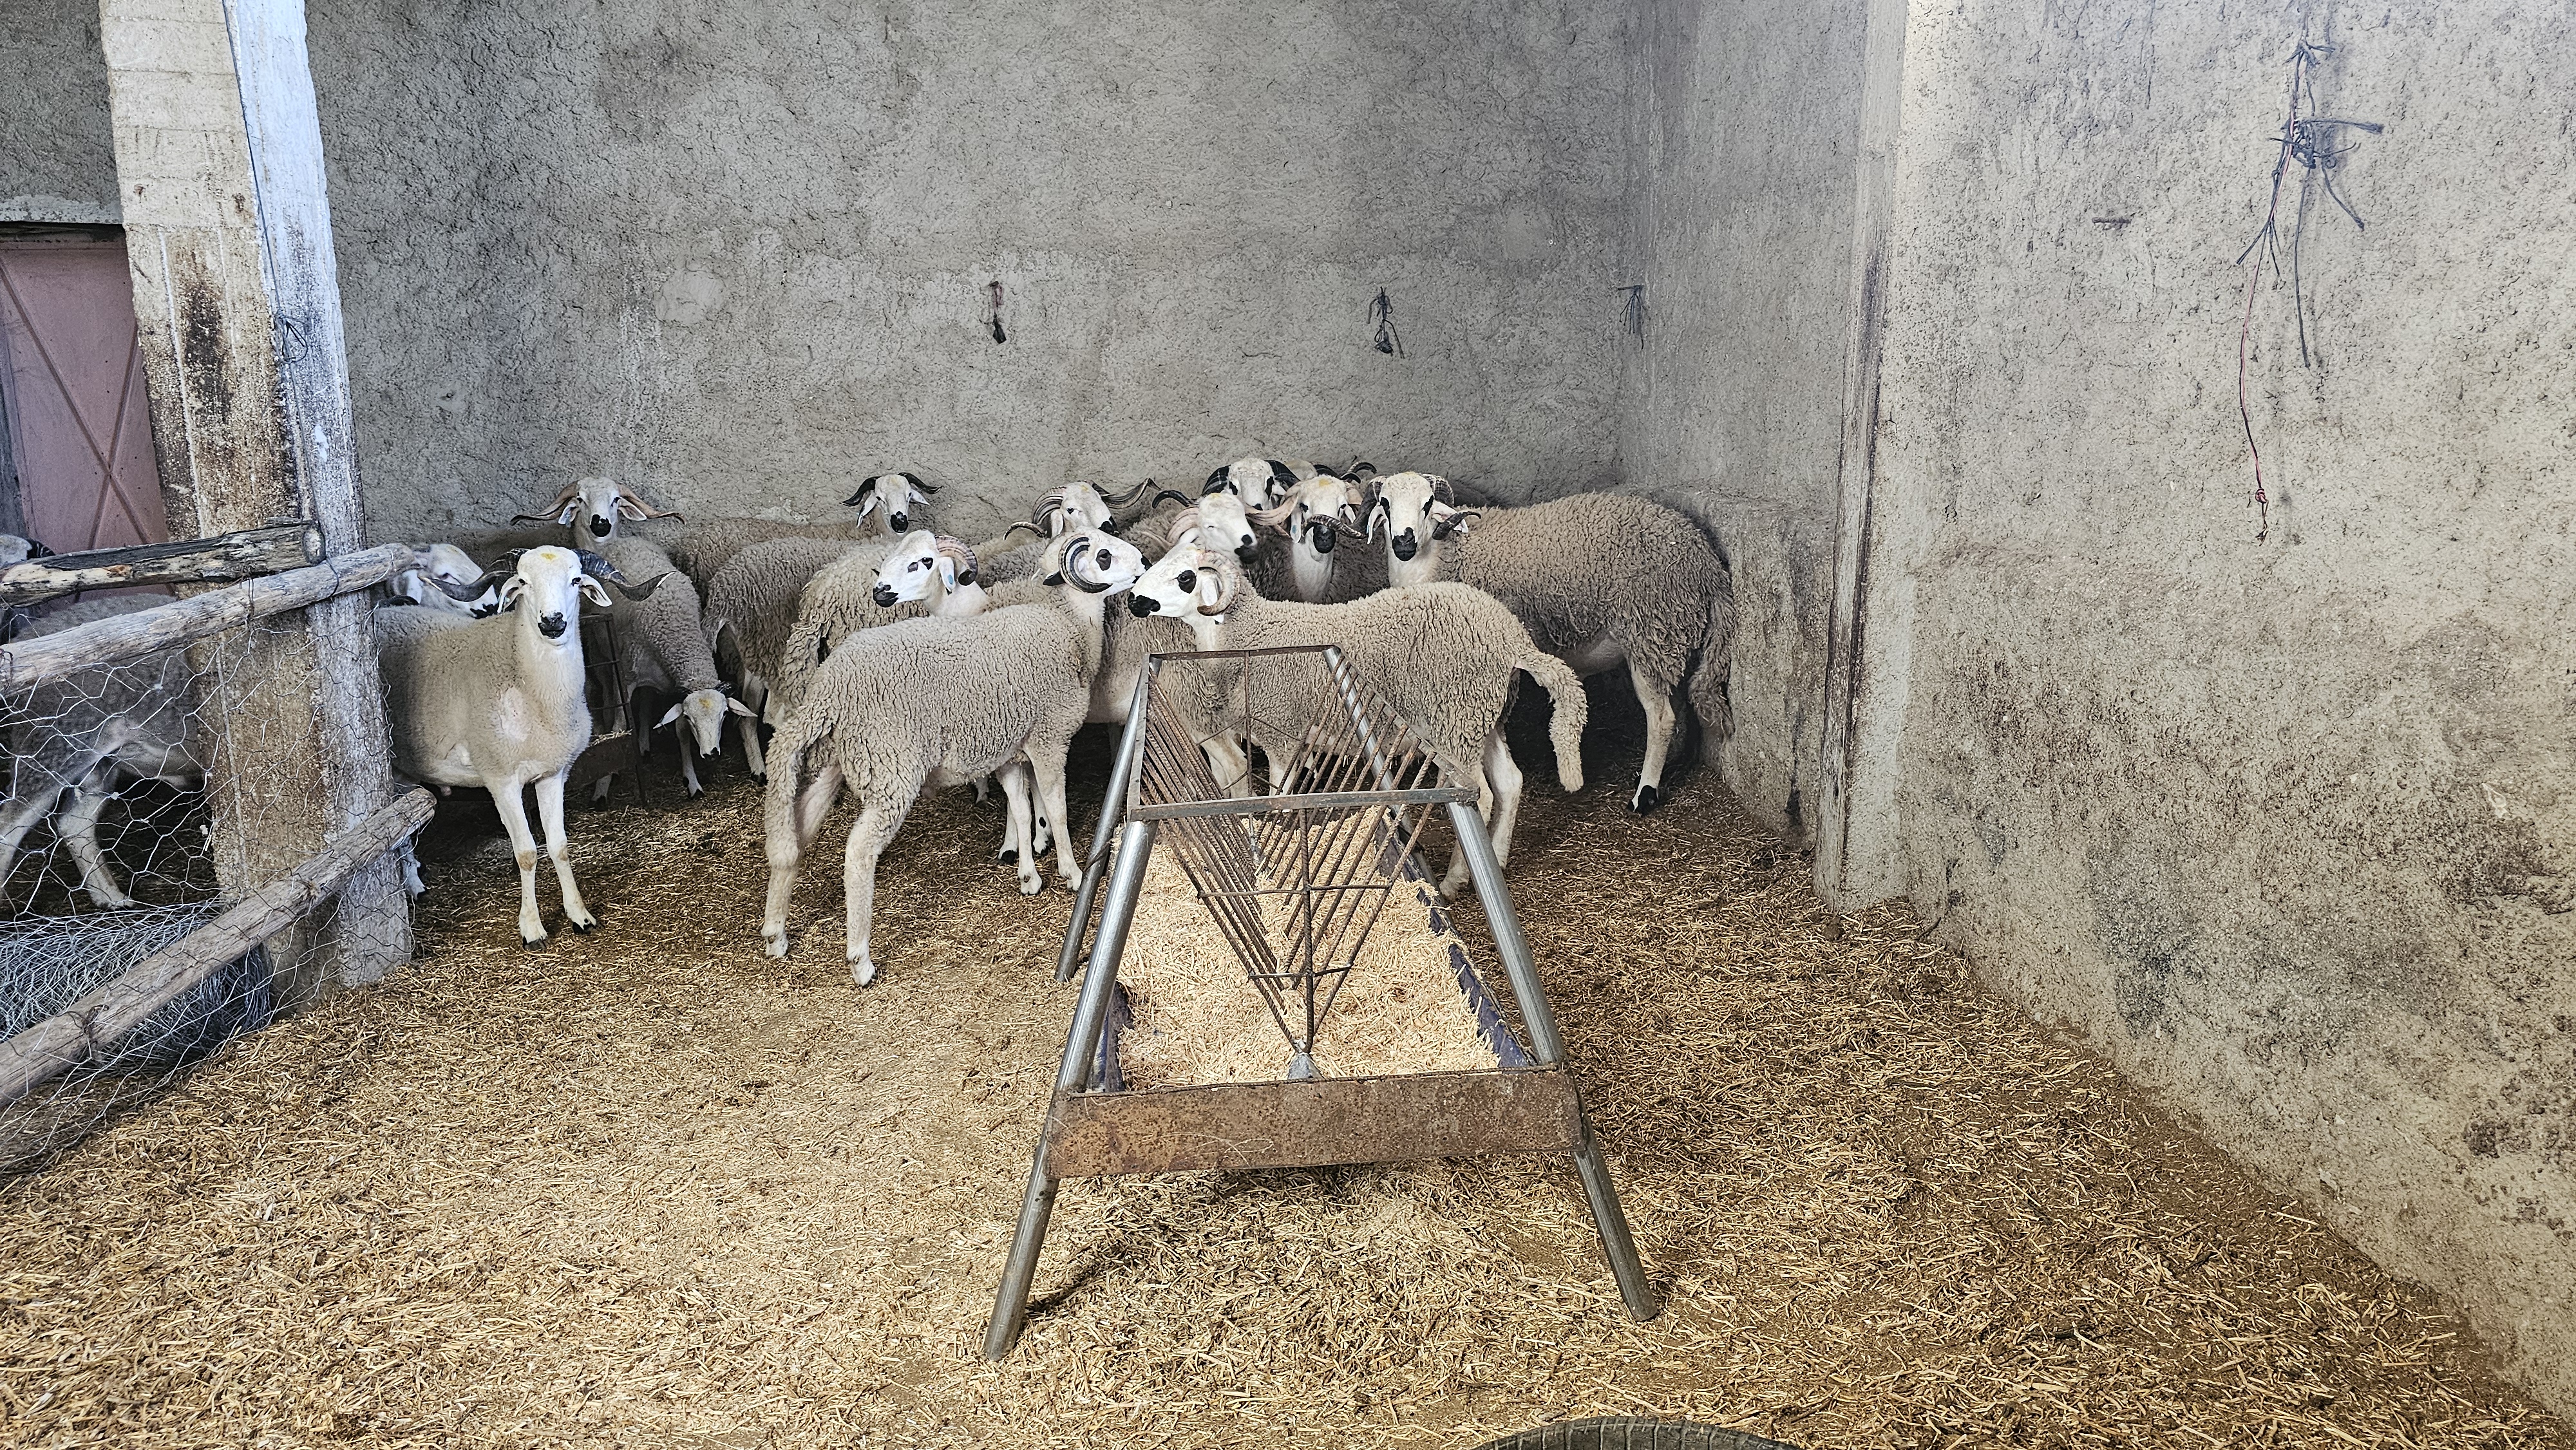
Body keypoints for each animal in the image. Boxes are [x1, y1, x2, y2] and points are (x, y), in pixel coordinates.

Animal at [376, 546, 663, 945]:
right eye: (523, 582)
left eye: (576, 579)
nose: (552, 622)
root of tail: (384, 613)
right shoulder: (501, 779)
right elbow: (526, 852)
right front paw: (532, 928)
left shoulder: (553, 773)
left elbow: (559, 846)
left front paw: (579, 915)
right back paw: (414, 885)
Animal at [758, 531, 1149, 983]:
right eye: (1103, 555)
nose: (1144, 563)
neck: (1066, 620)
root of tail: (830, 688)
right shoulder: (1049, 738)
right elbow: (1056, 806)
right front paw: (1070, 871)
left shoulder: (1008, 751)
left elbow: (1020, 808)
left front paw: (1028, 874)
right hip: (892, 771)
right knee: (857, 852)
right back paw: (860, 959)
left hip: (835, 763)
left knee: (797, 832)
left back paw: (776, 933)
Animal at [1125, 534, 1588, 898]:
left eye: (1186, 577)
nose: (1133, 600)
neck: (1247, 632)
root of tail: (1513, 638)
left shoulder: (1282, 733)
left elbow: (1280, 800)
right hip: (1483, 717)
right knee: (1510, 784)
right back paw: (1499, 860)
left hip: (1455, 717)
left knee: (1482, 795)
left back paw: (1456, 880)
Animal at [1364, 472, 1738, 813]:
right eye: (1386, 504)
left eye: (1427, 504)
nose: (1404, 544)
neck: (1441, 555)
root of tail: (1707, 559)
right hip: (1671, 638)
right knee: (1679, 708)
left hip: (1649, 632)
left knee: (1662, 719)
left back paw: (1644, 794)